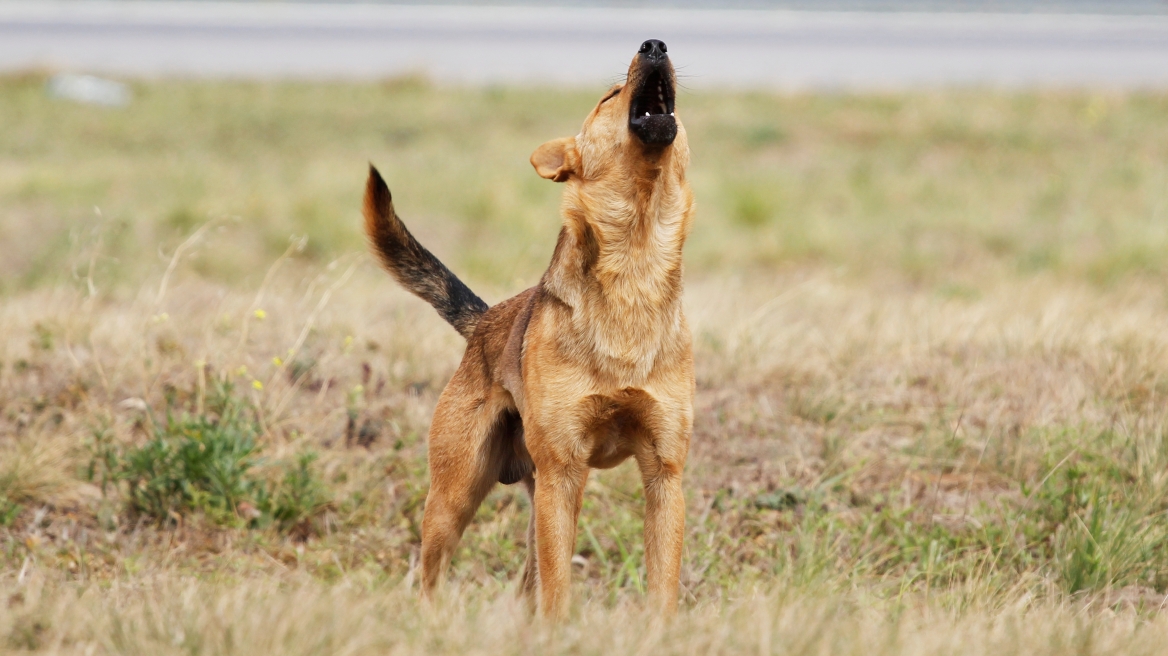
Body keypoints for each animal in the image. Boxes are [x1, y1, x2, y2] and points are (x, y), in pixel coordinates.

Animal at [362, 40, 691, 616]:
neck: (635, 266)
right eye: (610, 94)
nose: (655, 45)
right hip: (456, 495)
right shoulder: (563, 470)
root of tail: (485, 321)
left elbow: (660, 591)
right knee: (431, 576)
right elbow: (558, 592)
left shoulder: (664, 474)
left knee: (525, 585)